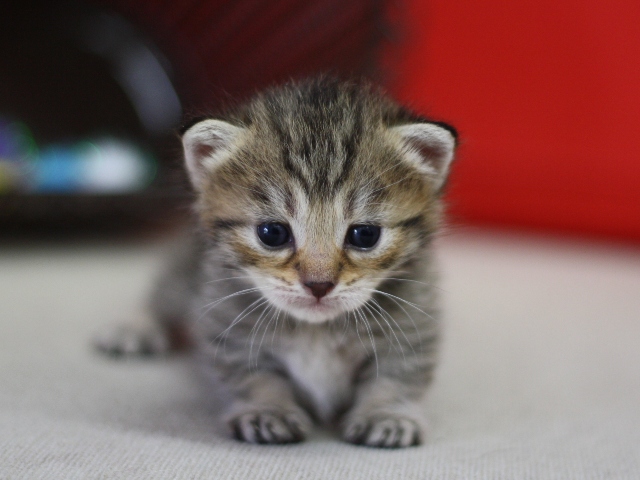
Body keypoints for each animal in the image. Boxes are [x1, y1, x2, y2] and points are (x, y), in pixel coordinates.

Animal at [95, 77, 458, 448]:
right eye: (272, 233)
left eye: (365, 235)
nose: (318, 285)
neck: (317, 330)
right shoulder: (226, 318)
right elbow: (253, 374)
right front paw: (268, 409)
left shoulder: (413, 320)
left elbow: (398, 373)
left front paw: (386, 413)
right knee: (164, 294)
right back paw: (135, 327)